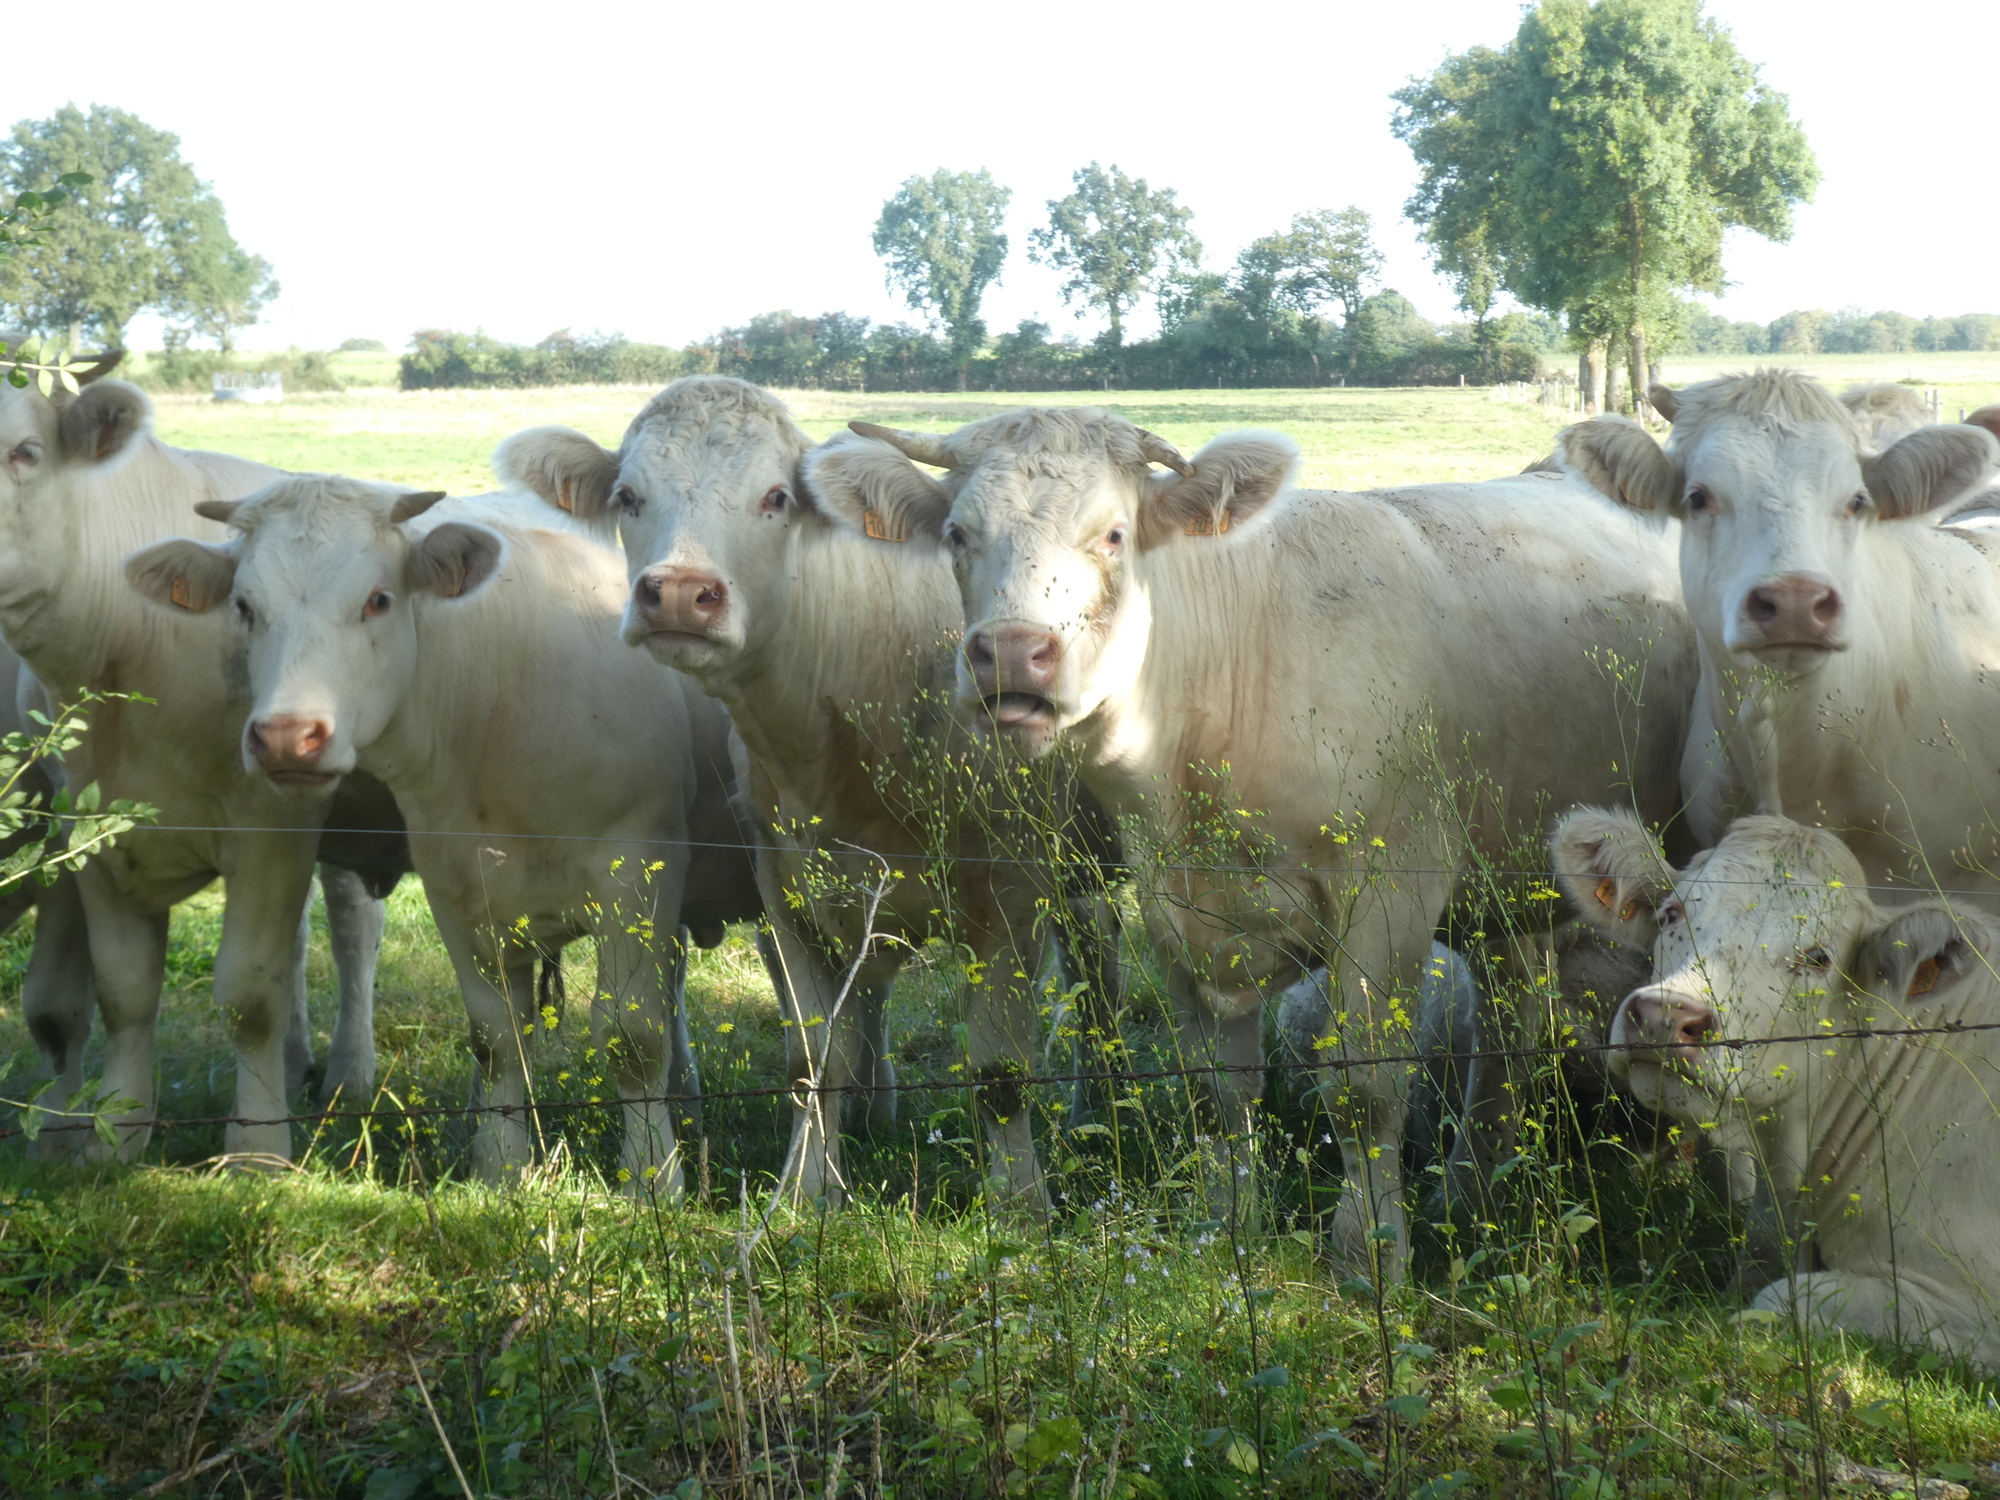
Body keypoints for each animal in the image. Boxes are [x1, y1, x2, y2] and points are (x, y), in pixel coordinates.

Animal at [0, 356, 397, 1161]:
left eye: (25, 451)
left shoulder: (275, 819)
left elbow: (249, 992)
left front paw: (259, 1147)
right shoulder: (85, 832)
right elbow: (113, 993)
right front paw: (106, 1133)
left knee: (350, 927)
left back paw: (348, 1072)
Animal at [125, 477, 760, 1188]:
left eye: (378, 599)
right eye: (244, 605)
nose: (288, 736)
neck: (501, 705)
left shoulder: (637, 874)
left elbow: (632, 1035)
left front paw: (651, 1178)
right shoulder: (457, 884)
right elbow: (496, 1037)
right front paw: (500, 1166)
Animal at [496, 377, 1125, 1216]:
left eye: (775, 497)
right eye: (628, 495)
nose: (679, 595)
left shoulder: (1012, 891)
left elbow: (1001, 1067)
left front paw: (1020, 1202)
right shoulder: (788, 891)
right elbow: (814, 1054)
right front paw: (803, 1192)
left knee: (1100, 981)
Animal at [808, 408, 1699, 1272]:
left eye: (1114, 534)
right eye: (958, 534)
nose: (1012, 654)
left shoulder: (1389, 896)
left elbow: (1364, 1091)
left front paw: (1368, 1256)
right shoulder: (1170, 908)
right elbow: (1218, 1091)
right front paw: (1225, 1229)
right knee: (1512, 1024)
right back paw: (1468, 1192)